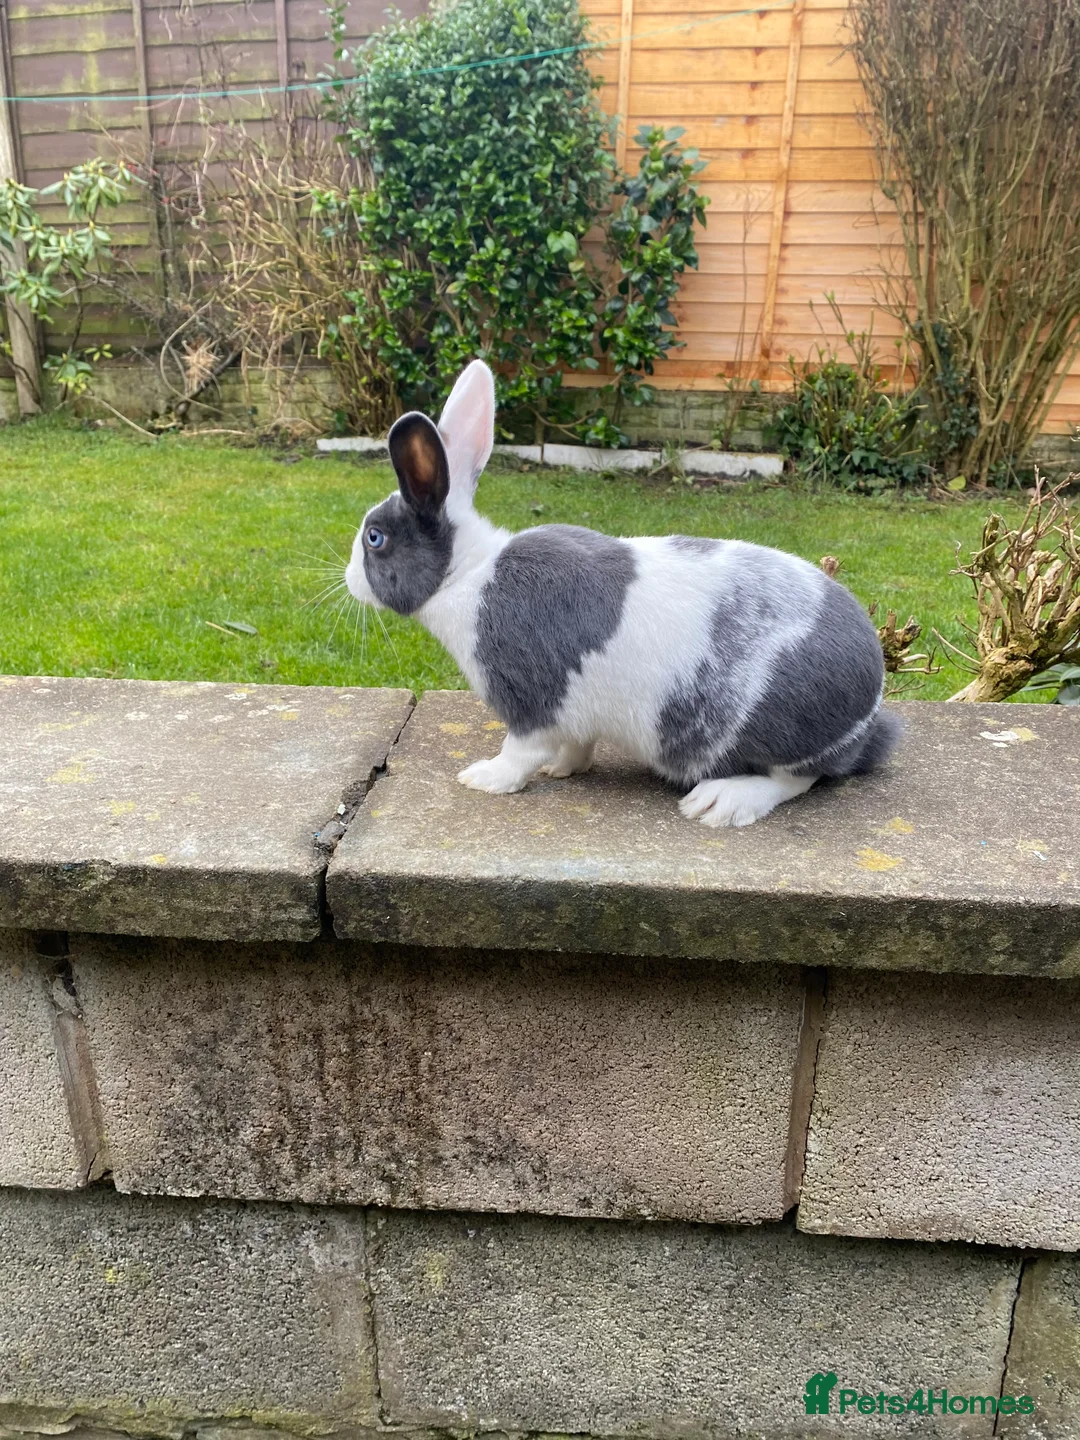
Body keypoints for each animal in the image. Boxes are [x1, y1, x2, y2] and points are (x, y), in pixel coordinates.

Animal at [344, 359, 901, 827]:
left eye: (374, 538)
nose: (349, 579)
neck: (470, 572)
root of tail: (869, 708)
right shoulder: (572, 715)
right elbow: (575, 746)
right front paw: (563, 771)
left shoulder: (530, 705)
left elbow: (519, 753)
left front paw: (483, 779)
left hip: (772, 736)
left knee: (798, 777)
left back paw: (720, 802)